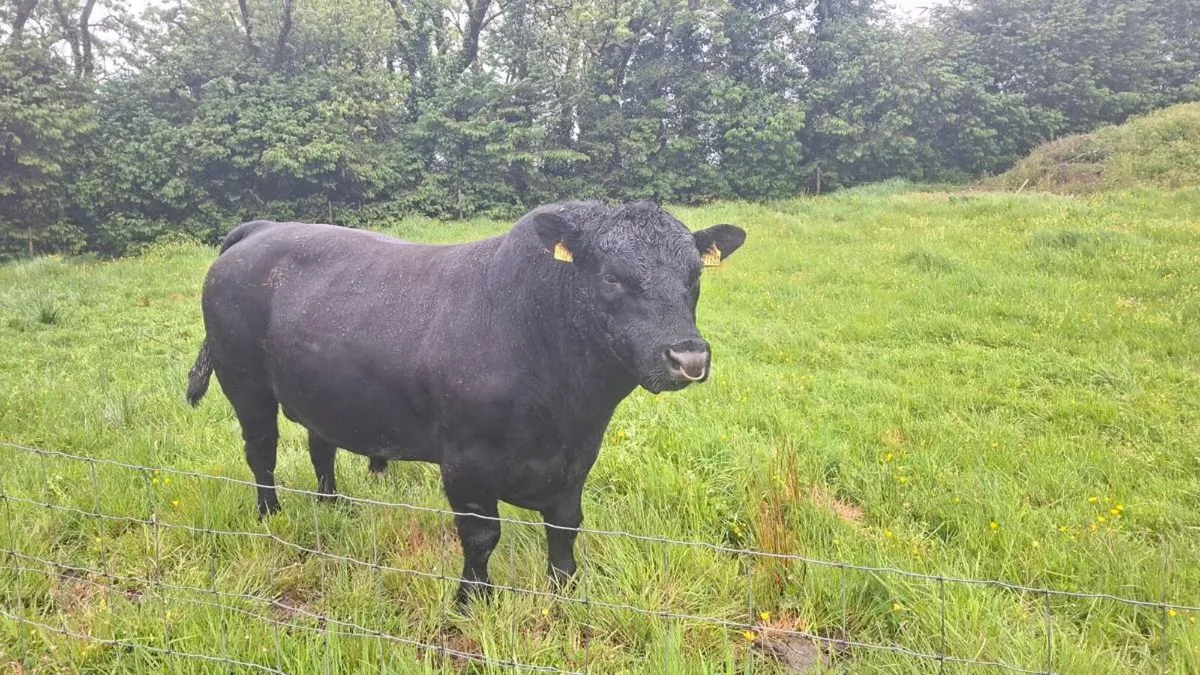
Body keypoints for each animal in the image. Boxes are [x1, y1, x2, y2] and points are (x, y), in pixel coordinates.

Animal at [185, 200, 746, 606]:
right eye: (611, 277)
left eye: (695, 276)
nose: (689, 357)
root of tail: (262, 229)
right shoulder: (465, 462)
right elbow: (480, 537)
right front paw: (472, 600)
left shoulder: (578, 457)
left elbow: (565, 529)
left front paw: (565, 592)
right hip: (246, 385)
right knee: (261, 451)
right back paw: (270, 514)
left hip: (322, 390)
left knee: (320, 446)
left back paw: (333, 504)